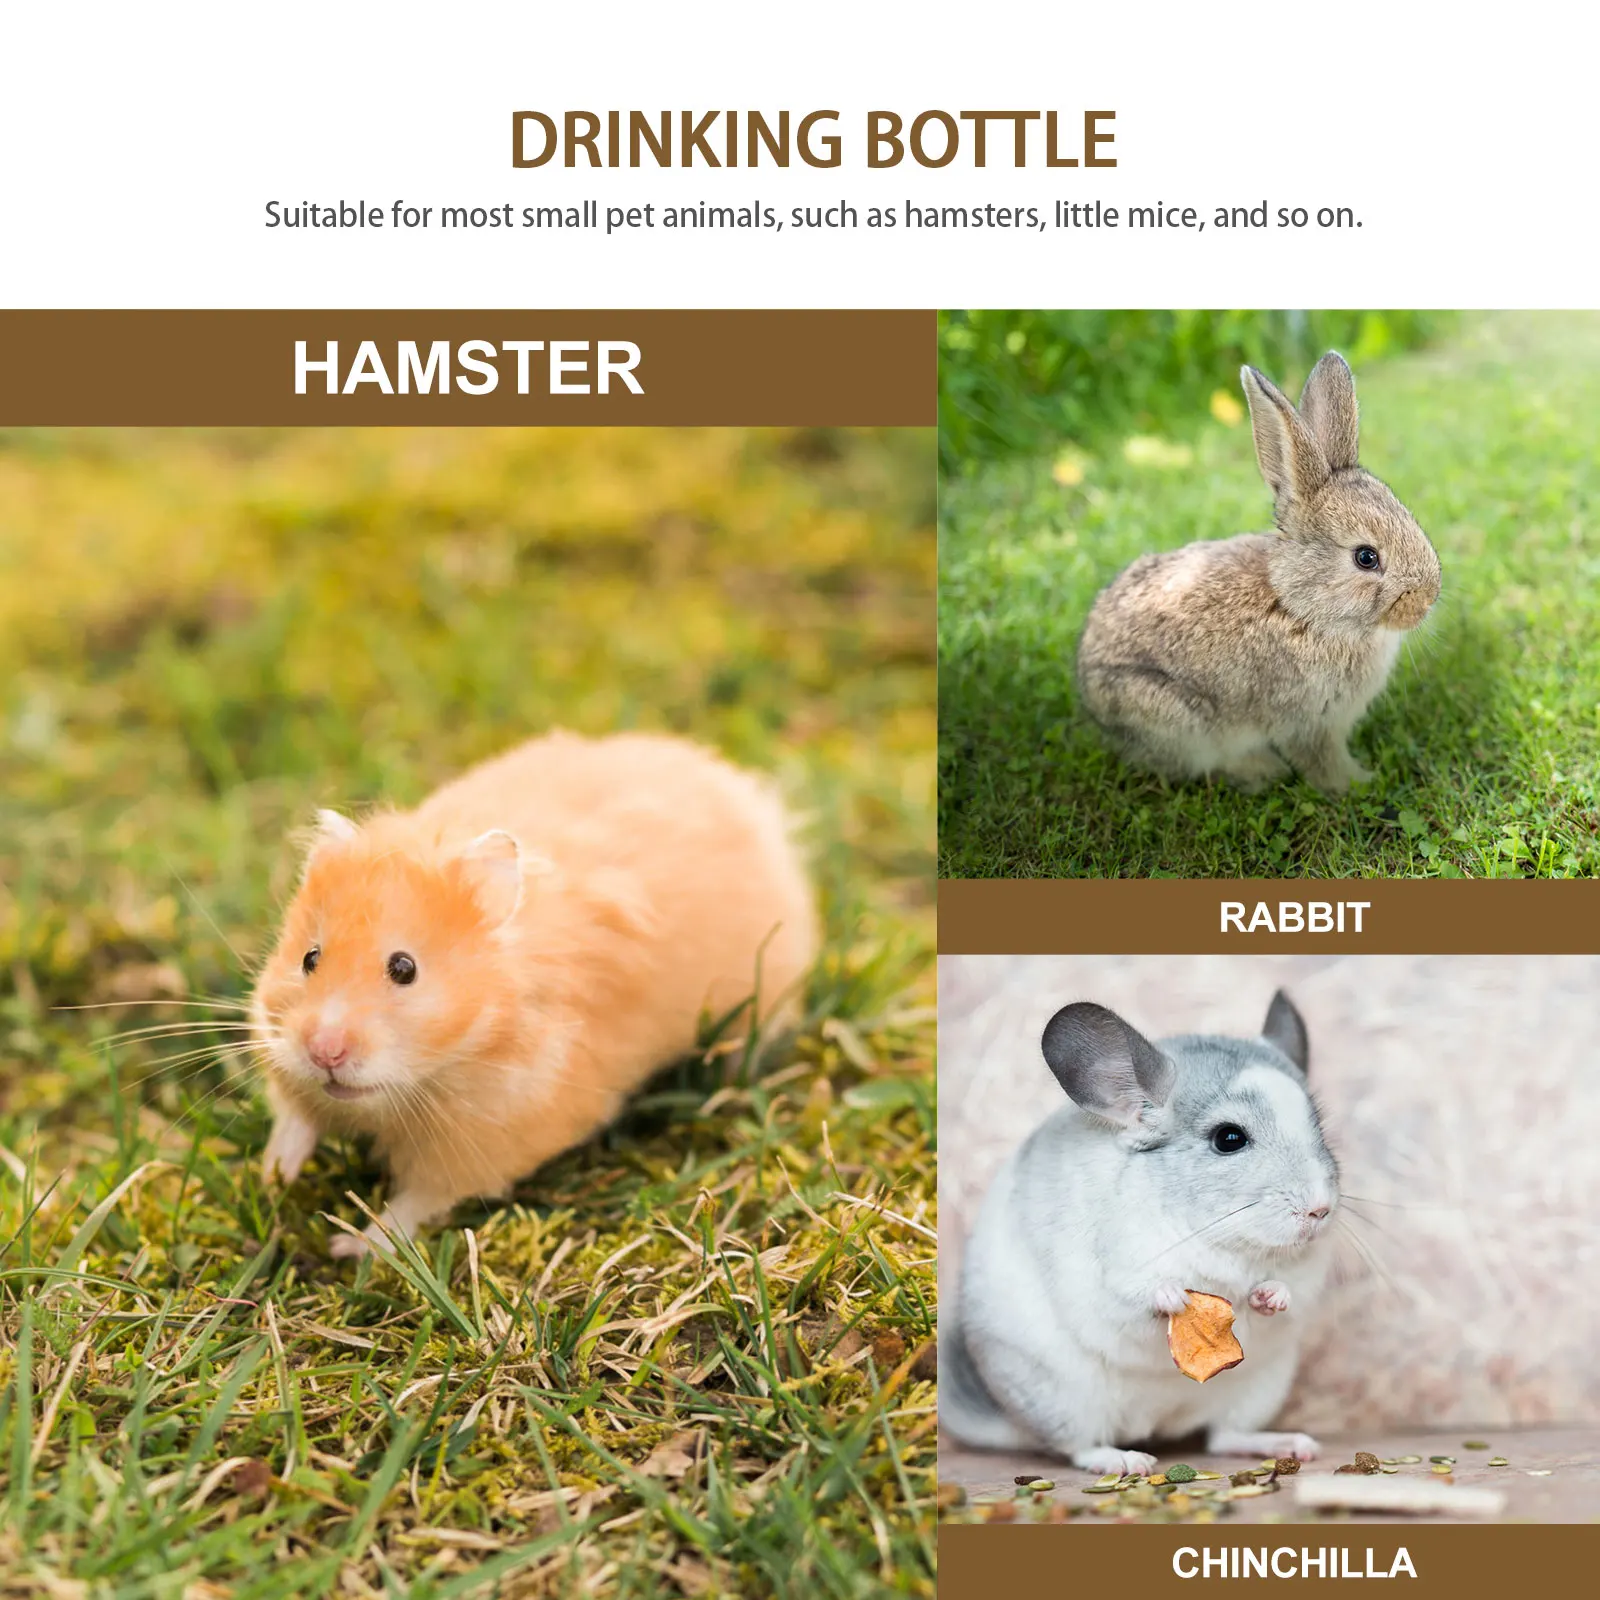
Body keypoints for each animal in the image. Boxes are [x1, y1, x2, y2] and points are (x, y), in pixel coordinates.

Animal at [942, 990, 1338, 1474]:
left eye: (1319, 1131)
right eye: (1229, 1138)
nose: (1320, 1209)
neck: (1220, 1239)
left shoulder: (1305, 1273)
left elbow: (1288, 1294)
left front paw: (1271, 1296)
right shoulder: (1114, 1271)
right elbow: (1135, 1297)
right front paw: (1172, 1296)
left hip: (1259, 1389)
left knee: (1223, 1437)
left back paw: (1288, 1444)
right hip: (1061, 1399)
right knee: (1078, 1447)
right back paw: (1125, 1461)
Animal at [1077, 352, 1441, 792]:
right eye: (1366, 558)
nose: (1427, 599)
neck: (1299, 608)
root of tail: (1088, 694)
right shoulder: (1309, 722)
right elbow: (1323, 762)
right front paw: (1360, 783)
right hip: (1174, 718)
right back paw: (1262, 770)